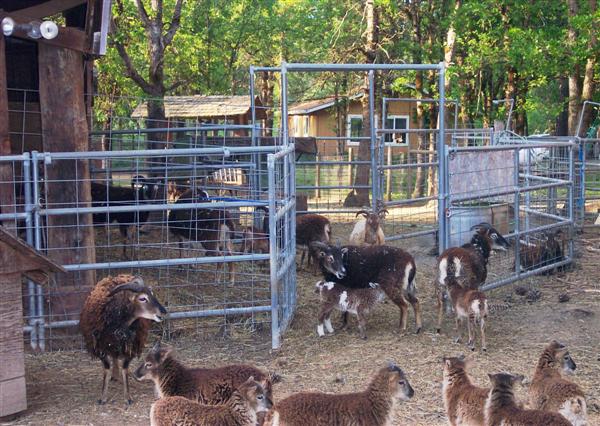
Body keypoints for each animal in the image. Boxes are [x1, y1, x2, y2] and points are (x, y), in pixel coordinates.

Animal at [79, 274, 166, 404]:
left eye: (152, 294)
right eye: (142, 298)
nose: (163, 311)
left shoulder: (131, 347)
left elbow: (124, 368)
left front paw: (128, 397)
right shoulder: (100, 347)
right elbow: (106, 368)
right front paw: (103, 397)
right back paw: (114, 376)